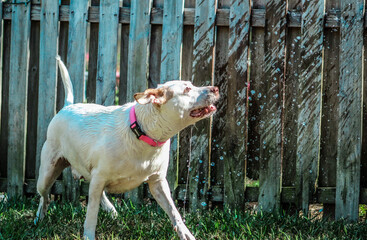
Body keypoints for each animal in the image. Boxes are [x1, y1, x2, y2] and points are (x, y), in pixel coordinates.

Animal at [34, 56, 220, 240]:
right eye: (187, 89)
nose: (216, 88)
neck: (141, 132)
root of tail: (67, 106)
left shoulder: (158, 182)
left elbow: (174, 212)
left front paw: (186, 234)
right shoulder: (100, 177)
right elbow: (91, 214)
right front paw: (88, 236)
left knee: (95, 193)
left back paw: (111, 210)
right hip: (47, 173)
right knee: (45, 196)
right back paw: (39, 217)